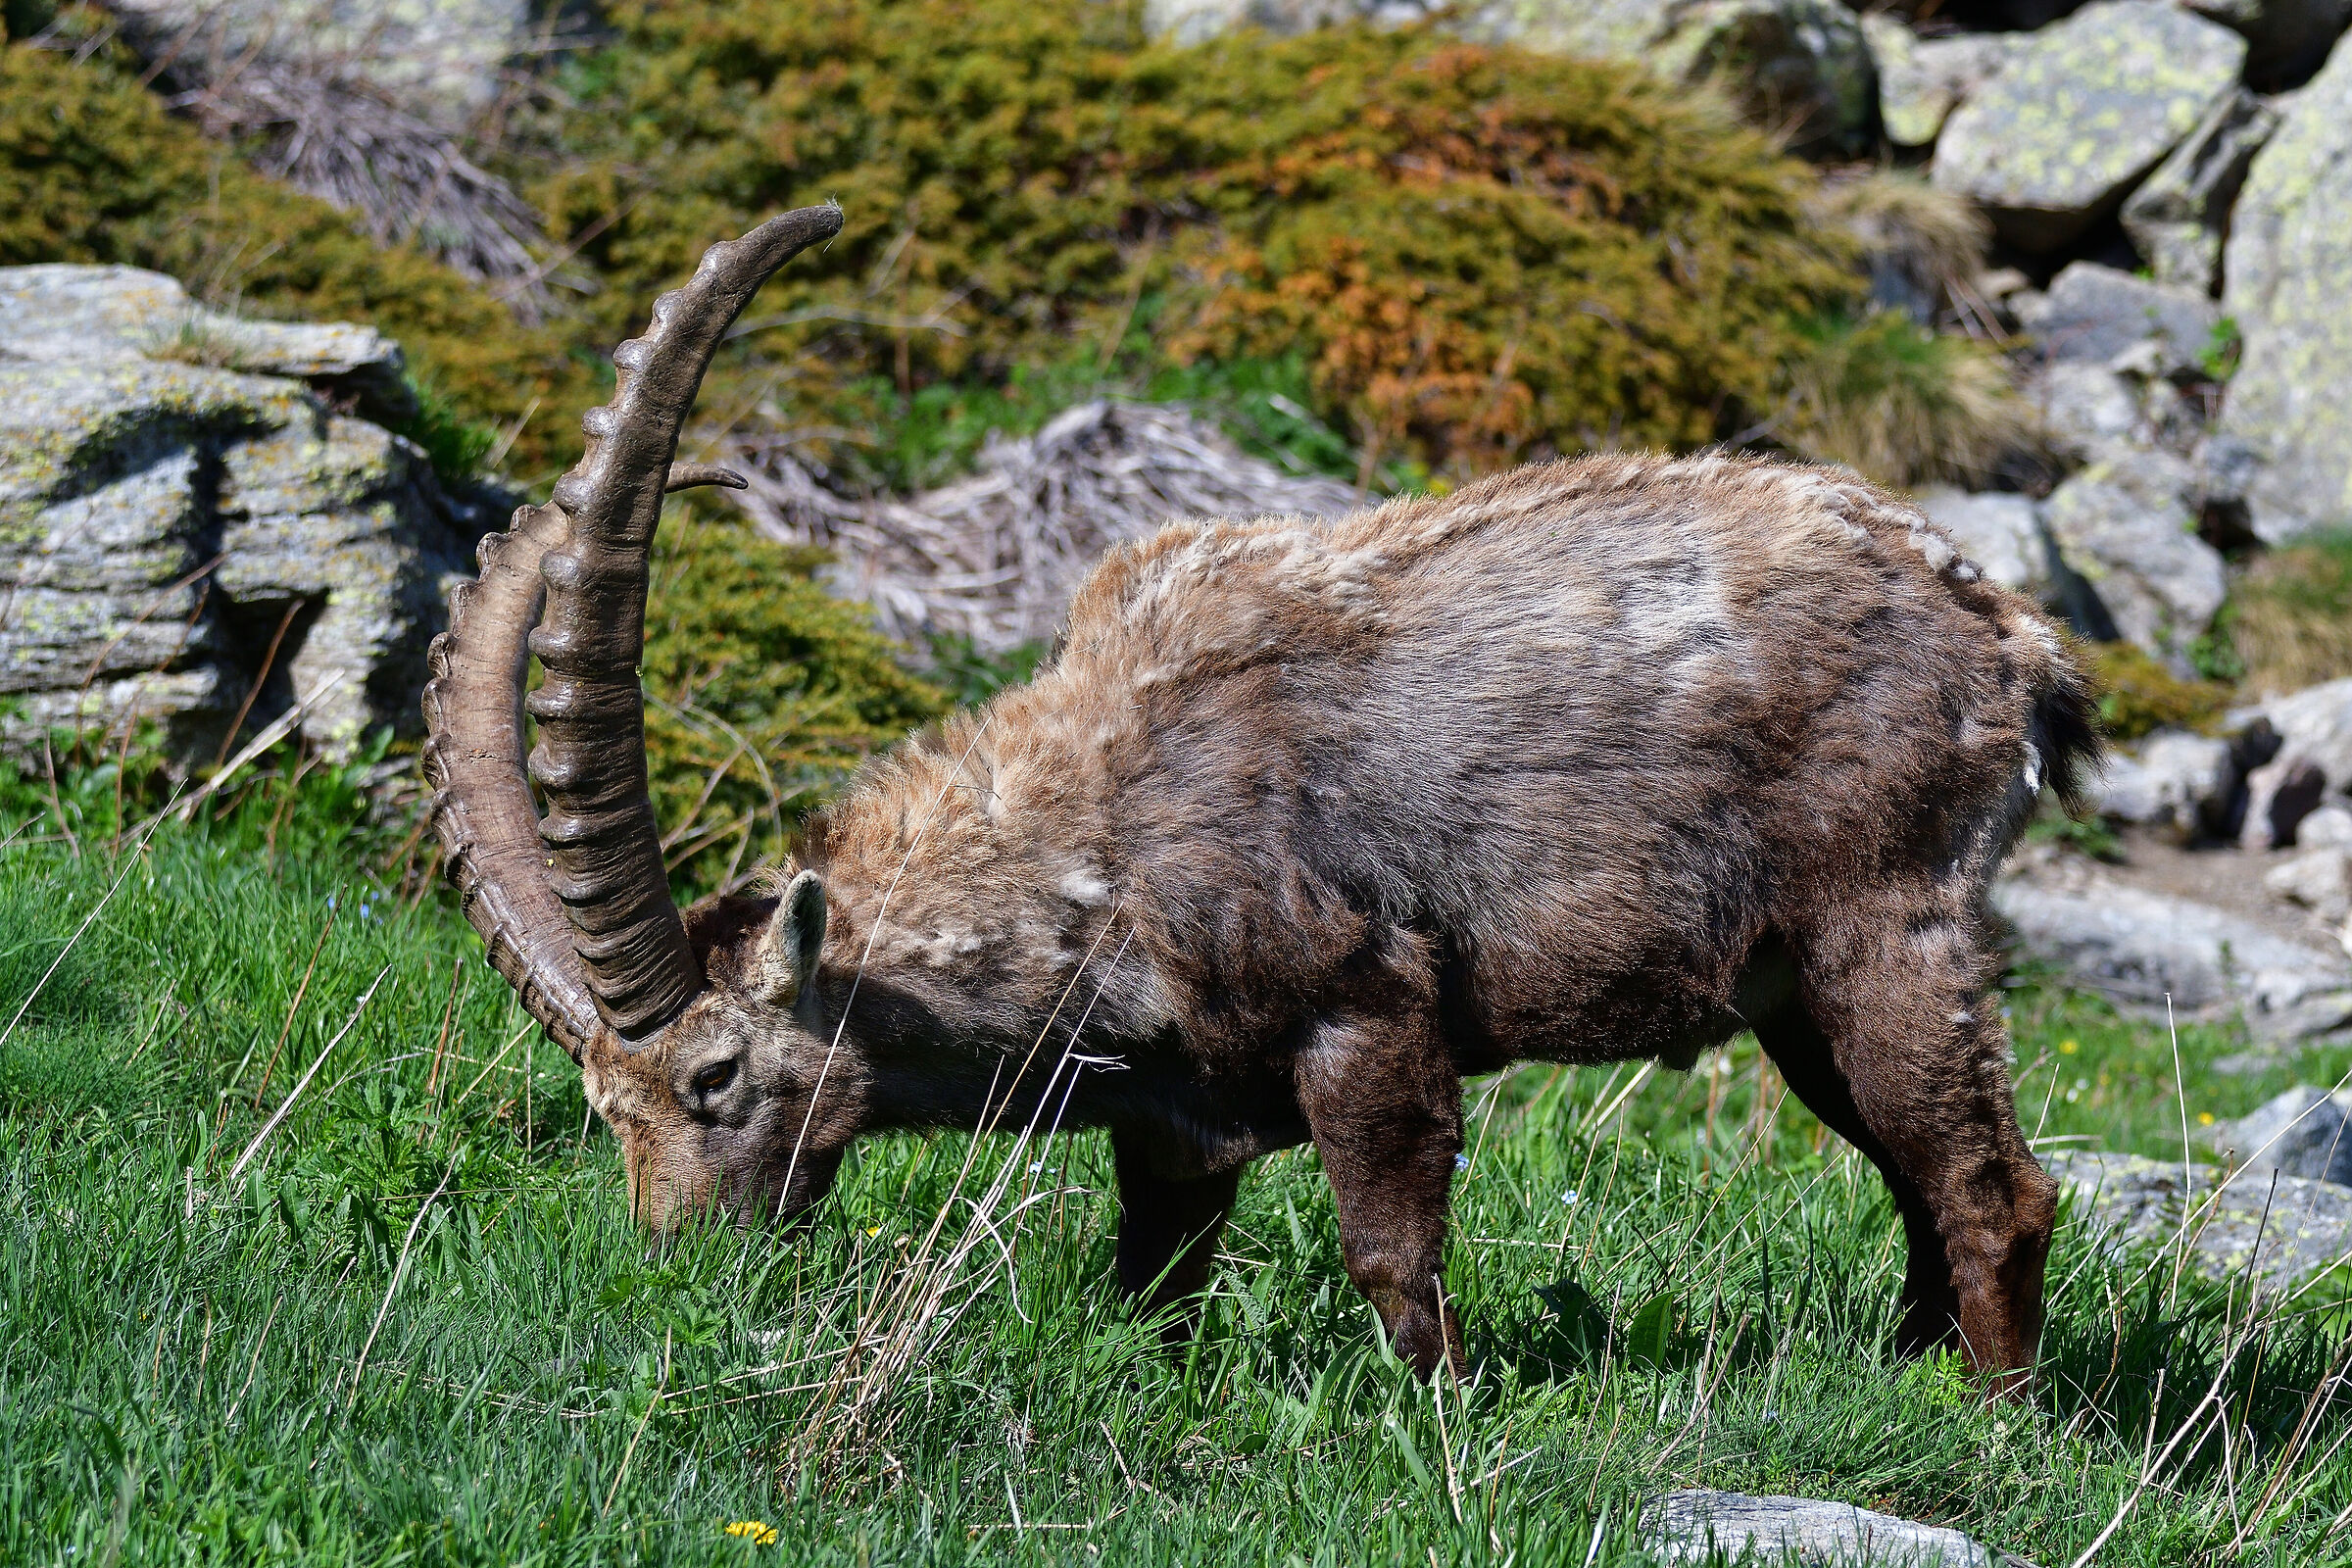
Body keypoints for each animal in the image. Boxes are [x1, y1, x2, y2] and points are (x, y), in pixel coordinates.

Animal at [425, 210, 2099, 1391]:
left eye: (714, 1079)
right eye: (603, 1109)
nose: (685, 1275)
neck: (1100, 828)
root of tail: (2008, 642)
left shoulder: (1370, 1017)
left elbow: (1391, 1260)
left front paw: (1443, 1427)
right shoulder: (1177, 1116)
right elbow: (1152, 1280)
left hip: (1886, 923)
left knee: (1993, 1191)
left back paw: (1996, 1423)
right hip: (1791, 994)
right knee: (1912, 1183)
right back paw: (1906, 1374)